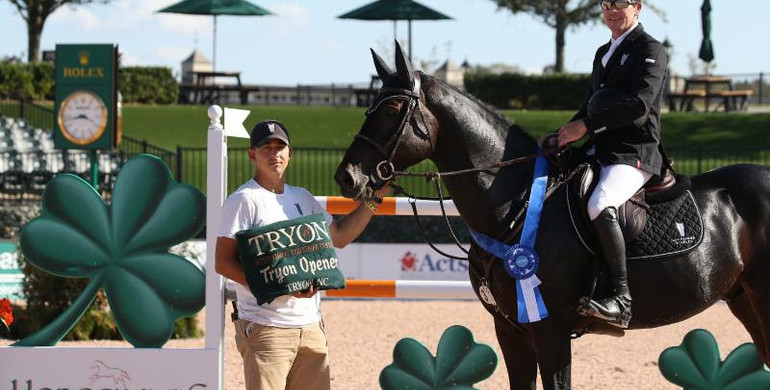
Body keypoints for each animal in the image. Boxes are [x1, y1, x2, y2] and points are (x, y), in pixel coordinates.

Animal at [332, 42, 768, 390]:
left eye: (392, 108)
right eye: (368, 107)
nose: (347, 177)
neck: (516, 205)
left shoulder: (550, 328)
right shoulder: (511, 329)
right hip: (745, 302)